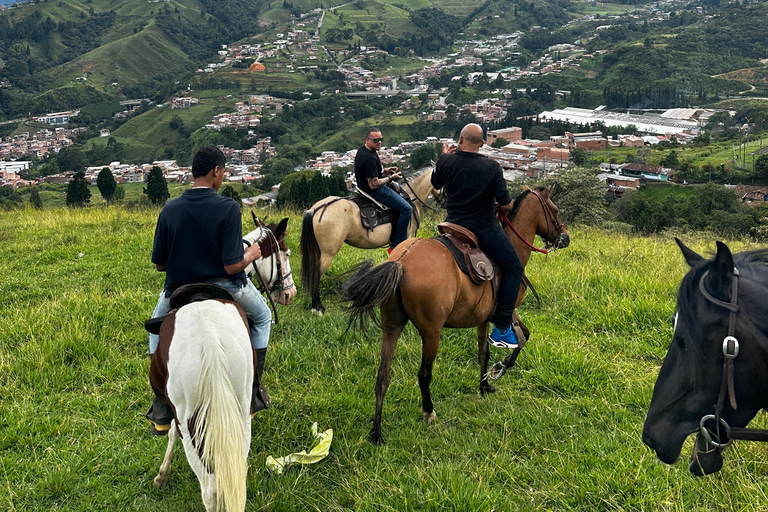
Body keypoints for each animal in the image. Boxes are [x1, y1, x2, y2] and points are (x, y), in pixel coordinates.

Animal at [344, 186, 568, 442]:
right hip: (432, 333)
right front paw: (502, 367)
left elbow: (484, 354)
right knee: (424, 374)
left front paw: (484, 386)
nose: (565, 237)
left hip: (392, 326)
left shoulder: (483, 318)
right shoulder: (507, 311)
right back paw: (428, 412)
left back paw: (376, 432)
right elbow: (522, 338)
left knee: (383, 375)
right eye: (555, 210)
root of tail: (401, 261)